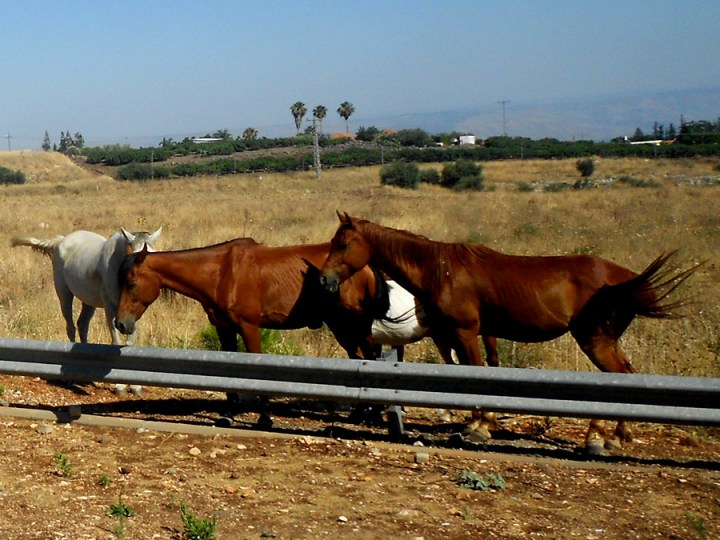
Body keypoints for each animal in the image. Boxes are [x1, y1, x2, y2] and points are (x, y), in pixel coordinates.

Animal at [11, 226, 162, 395]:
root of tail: (60, 241)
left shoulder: (132, 315)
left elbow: (131, 343)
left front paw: (135, 387)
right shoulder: (110, 308)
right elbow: (116, 341)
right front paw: (120, 387)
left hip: (88, 302)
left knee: (82, 325)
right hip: (64, 294)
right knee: (71, 328)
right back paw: (71, 377)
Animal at [319, 212, 698, 452]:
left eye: (342, 245)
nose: (324, 279)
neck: (441, 270)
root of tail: (624, 279)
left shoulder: (466, 332)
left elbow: (475, 373)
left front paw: (480, 427)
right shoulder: (465, 334)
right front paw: (476, 423)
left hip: (596, 341)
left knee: (619, 379)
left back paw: (602, 437)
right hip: (605, 341)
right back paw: (613, 435)